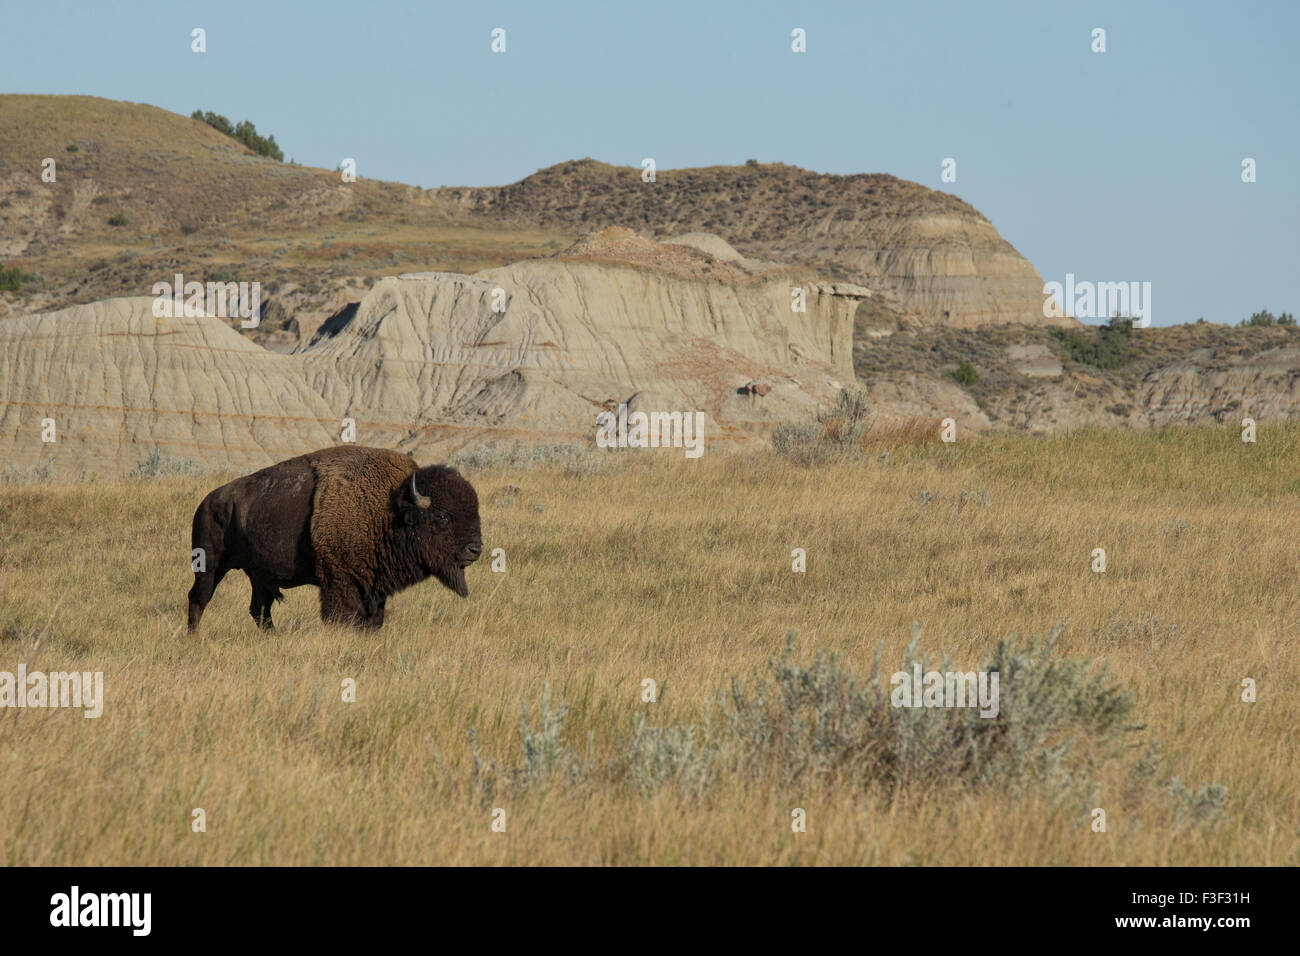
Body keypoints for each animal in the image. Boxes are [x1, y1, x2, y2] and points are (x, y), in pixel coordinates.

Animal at [187, 447, 483, 632]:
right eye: (442, 516)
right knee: (199, 598)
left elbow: (373, 620)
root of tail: (207, 502)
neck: (390, 509)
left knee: (259, 609)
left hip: (259, 575)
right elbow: (342, 618)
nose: (475, 549)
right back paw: (194, 637)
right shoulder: (340, 584)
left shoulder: (374, 590)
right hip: (210, 565)